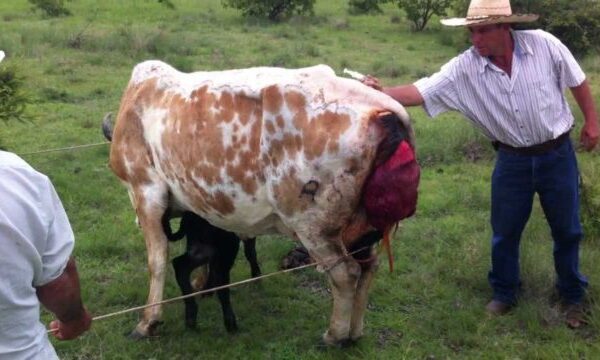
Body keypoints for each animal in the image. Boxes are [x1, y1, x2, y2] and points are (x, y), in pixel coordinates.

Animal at [106, 62, 418, 346]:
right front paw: (200, 285)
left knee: (345, 274)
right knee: (368, 267)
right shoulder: (205, 206)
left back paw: (334, 335)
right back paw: (354, 332)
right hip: (362, 228)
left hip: (313, 225)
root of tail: (383, 111)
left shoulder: (145, 191)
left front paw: (148, 322)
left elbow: (156, 260)